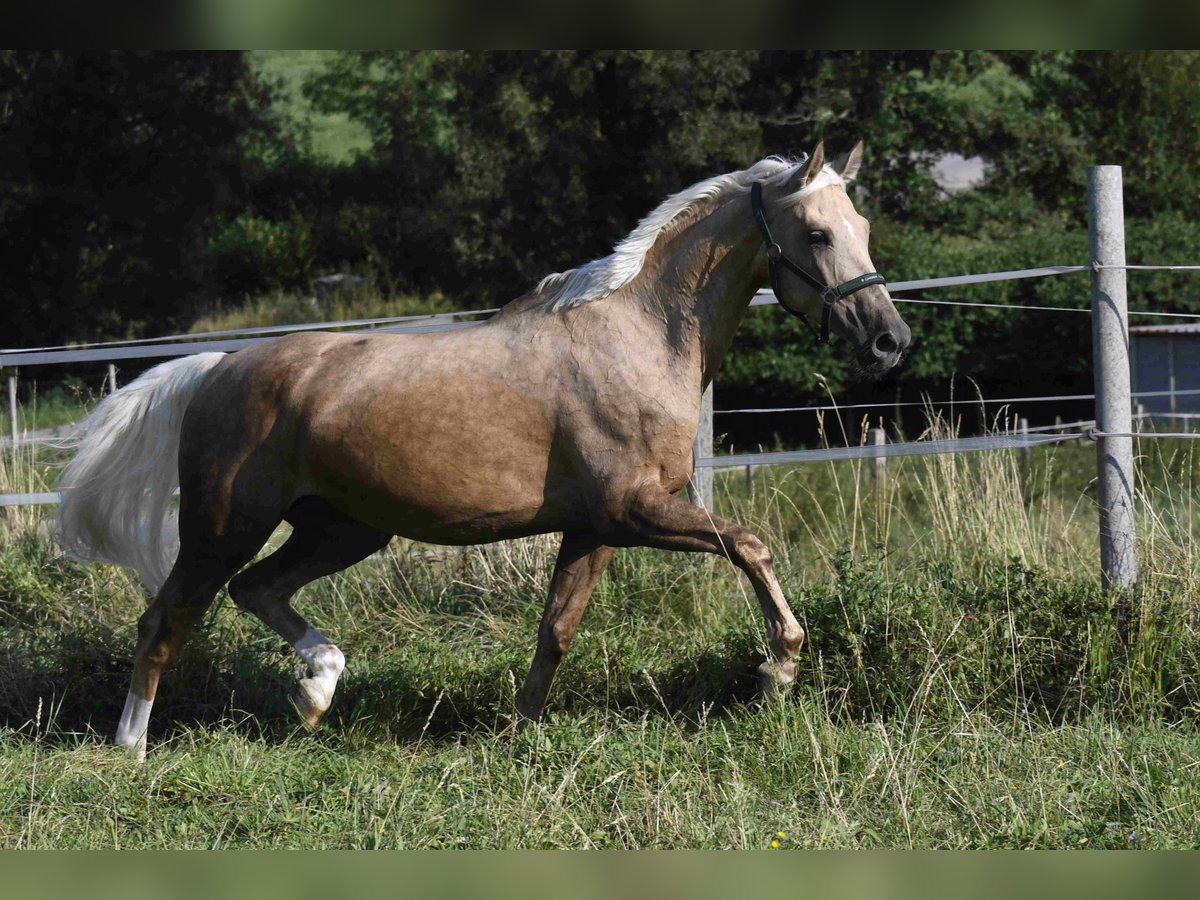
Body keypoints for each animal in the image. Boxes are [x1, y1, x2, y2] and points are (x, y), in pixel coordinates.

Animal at [51, 142, 902, 763]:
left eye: (861, 230)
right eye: (817, 234)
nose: (890, 341)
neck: (637, 337)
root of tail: (215, 368)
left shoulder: (594, 527)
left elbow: (556, 629)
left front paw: (520, 730)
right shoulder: (637, 511)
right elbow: (750, 545)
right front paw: (777, 669)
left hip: (344, 527)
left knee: (256, 590)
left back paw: (317, 689)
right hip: (226, 523)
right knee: (166, 619)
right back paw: (131, 749)